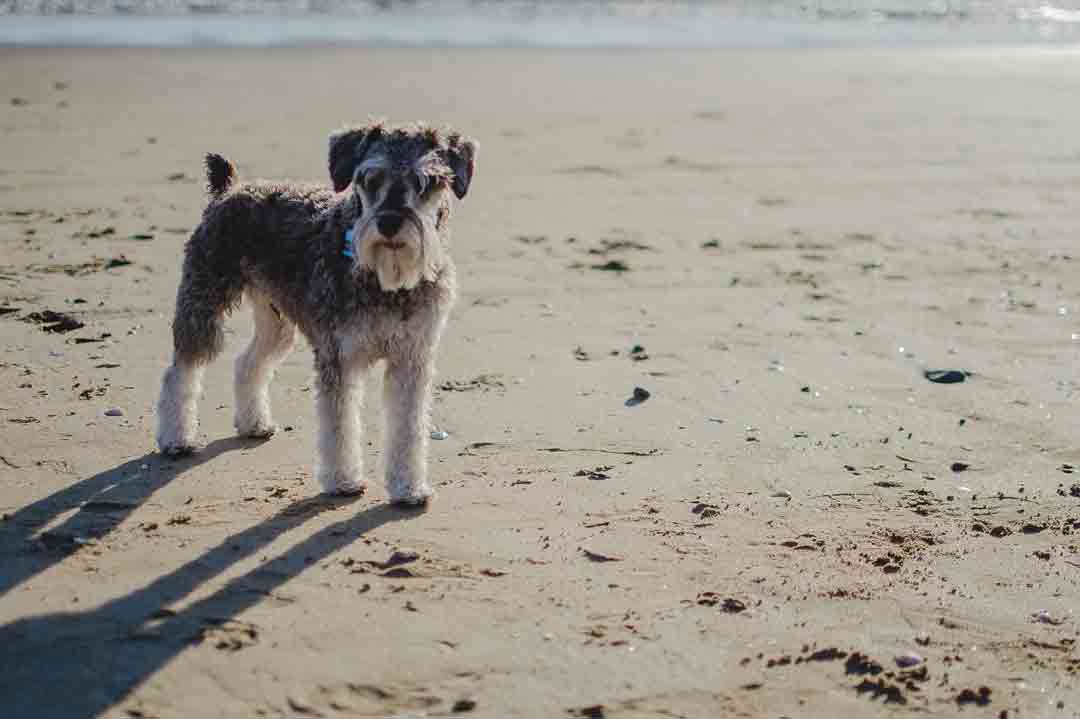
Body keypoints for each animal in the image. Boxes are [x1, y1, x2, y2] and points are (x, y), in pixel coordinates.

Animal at [154, 121, 475, 503]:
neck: (385, 280)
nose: (389, 224)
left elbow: (408, 428)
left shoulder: (411, 358)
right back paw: (175, 439)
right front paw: (342, 481)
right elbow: (338, 426)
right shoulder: (339, 357)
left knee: (248, 362)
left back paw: (253, 423)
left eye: (425, 182)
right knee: (181, 370)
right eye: (370, 179)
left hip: (276, 322)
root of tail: (228, 189)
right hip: (202, 303)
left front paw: (408, 488)